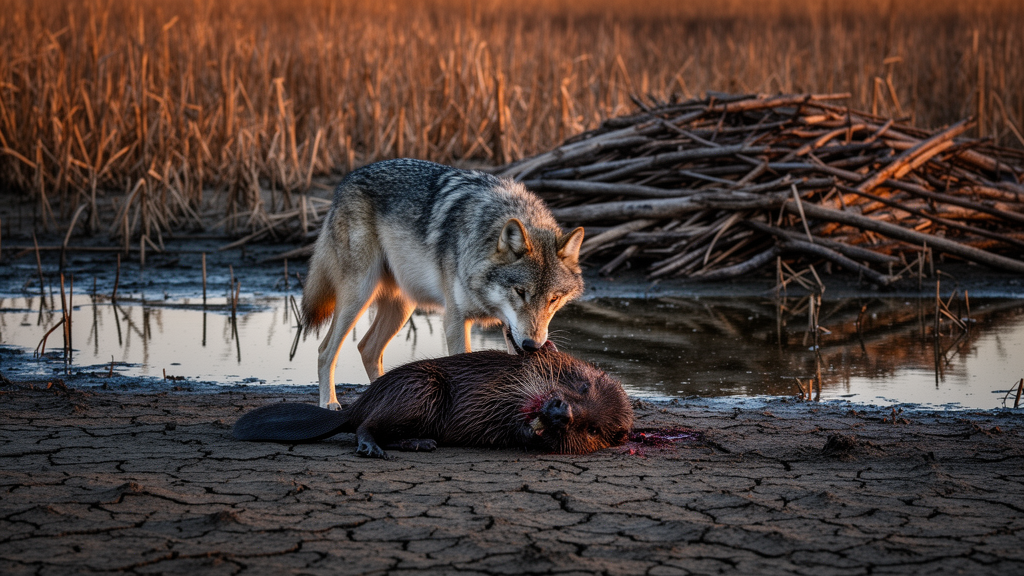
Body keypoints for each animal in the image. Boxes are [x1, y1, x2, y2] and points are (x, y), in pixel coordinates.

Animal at [301, 158, 585, 410]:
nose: (533, 345)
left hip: (403, 307)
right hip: (359, 296)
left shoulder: (509, 330)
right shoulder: (455, 320)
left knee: (367, 348)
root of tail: (347, 179)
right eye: (520, 292)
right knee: (325, 350)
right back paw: (329, 402)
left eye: (553, 299)